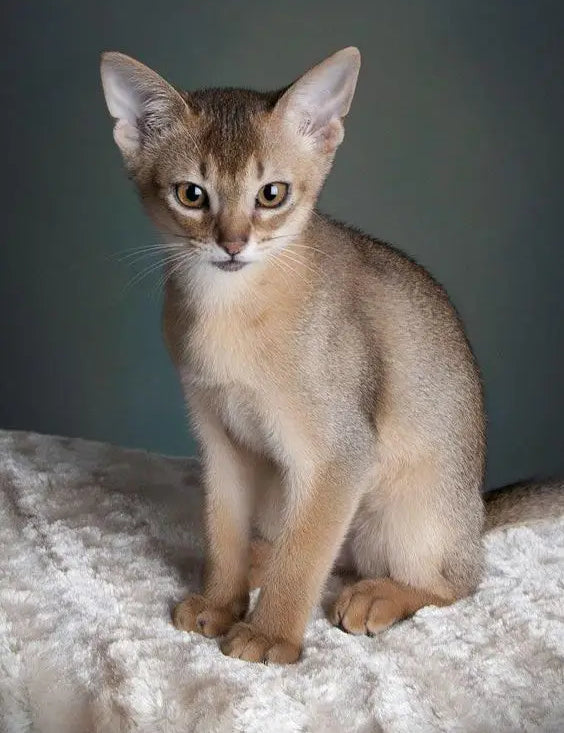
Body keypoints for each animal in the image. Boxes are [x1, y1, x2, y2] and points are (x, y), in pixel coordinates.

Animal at [101, 45, 564, 664]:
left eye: (271, 194)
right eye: (191, 194)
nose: (231, 244)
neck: (228, 311)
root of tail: (475, 517)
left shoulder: (339, 455)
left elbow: (304, 560)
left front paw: (270, 636)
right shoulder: (219, 440)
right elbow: (223, 533)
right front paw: (221, 603)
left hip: (406, 514)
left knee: (452, 582)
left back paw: (379, 596)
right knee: (322, 551)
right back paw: (258, 564)